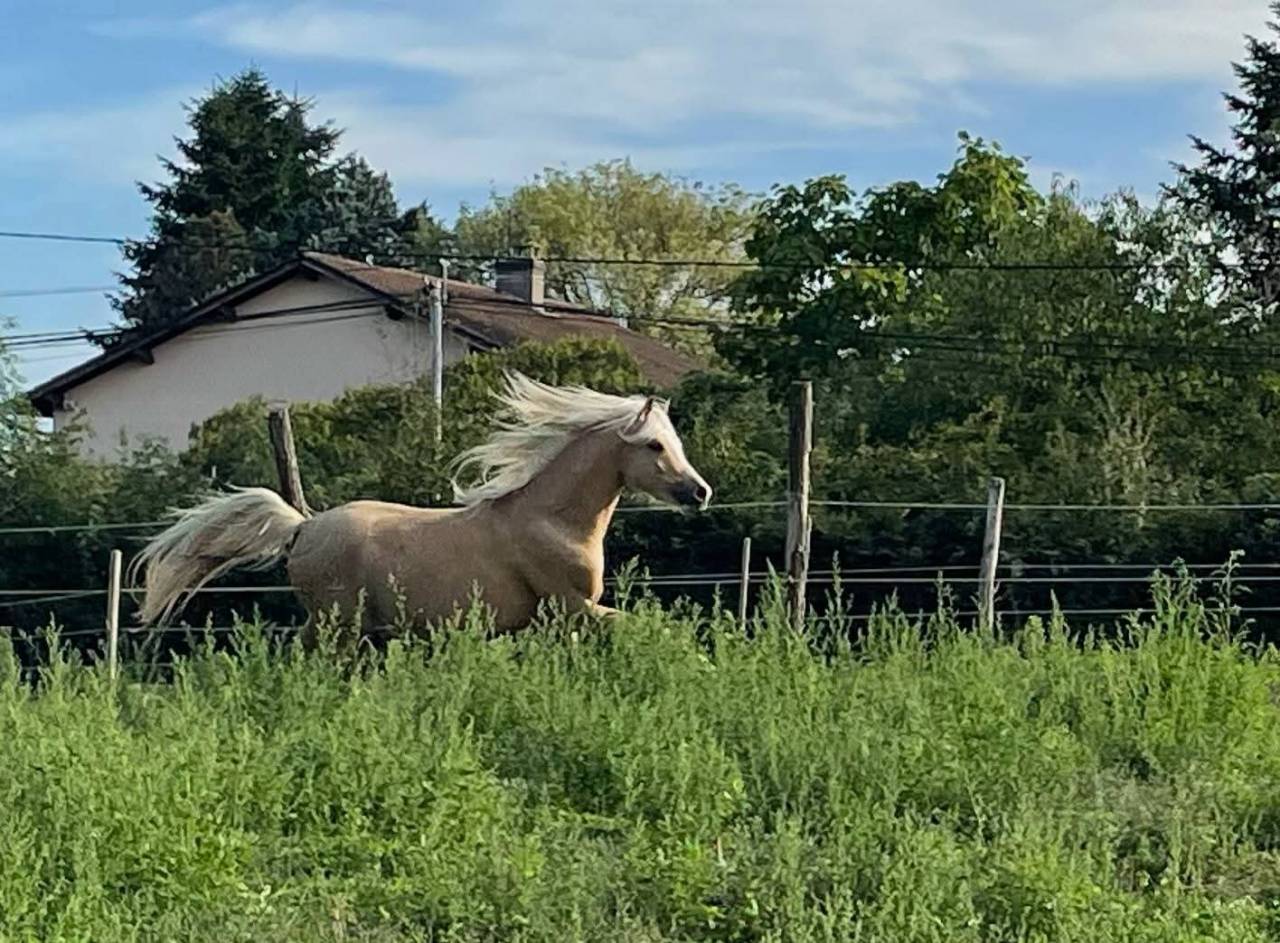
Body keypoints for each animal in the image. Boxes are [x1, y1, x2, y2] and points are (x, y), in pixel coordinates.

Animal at [130, 372, 713, 639]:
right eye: (654, 445)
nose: (701, 492)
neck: (552, 520)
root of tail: (304, 526)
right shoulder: (573, 607)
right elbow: (656, 628)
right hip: (337, 626)